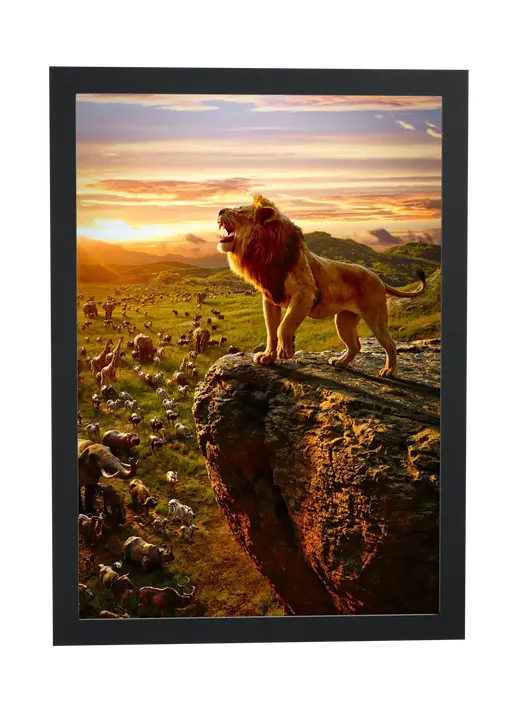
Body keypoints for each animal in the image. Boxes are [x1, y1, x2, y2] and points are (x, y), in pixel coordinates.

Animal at [217, 194, 426, 379]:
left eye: (239, 210)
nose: (219, 211)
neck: (263, 253)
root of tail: (379, 279)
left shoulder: (306, 293)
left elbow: (283, 326)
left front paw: (286, 351)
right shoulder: (270, 298)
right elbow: (271, 331)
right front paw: (268, 357)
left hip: (375, 318)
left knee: (390, 344)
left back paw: (389, 371)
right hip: (344, 321)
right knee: (355, 346)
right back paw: (340, 363)